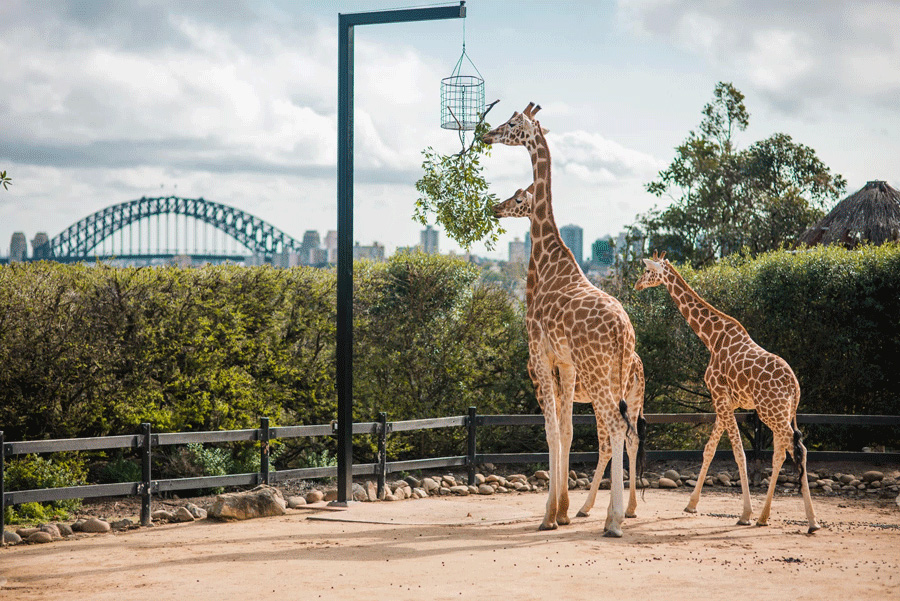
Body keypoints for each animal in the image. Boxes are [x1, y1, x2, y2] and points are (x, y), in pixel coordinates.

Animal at [486, 102, 632, 536]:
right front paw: (562, 511)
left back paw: (613, 522)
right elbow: (566, 431)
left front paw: (549, 515)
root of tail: (623, 330)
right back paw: (612, 514)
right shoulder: (565, 365)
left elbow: (551, 432)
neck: (548, 260)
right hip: (615, 374)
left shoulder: (540, 357)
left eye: (512, 123)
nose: (486, 134)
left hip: (598, 373)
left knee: (613, 429)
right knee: (623, 430)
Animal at [636, 251, 820, 532]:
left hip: (771, 412)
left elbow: (738, 453)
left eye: (647, 271)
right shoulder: (728, 401)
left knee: (797, 450)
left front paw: (744, 513)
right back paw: (765, 517)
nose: (636, 285)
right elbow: (709, 449)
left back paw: (811, 521)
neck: (711, 338)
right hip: (782, 413)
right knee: (782, 452)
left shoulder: (719, 396)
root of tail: (794, 387)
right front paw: (691, 504)